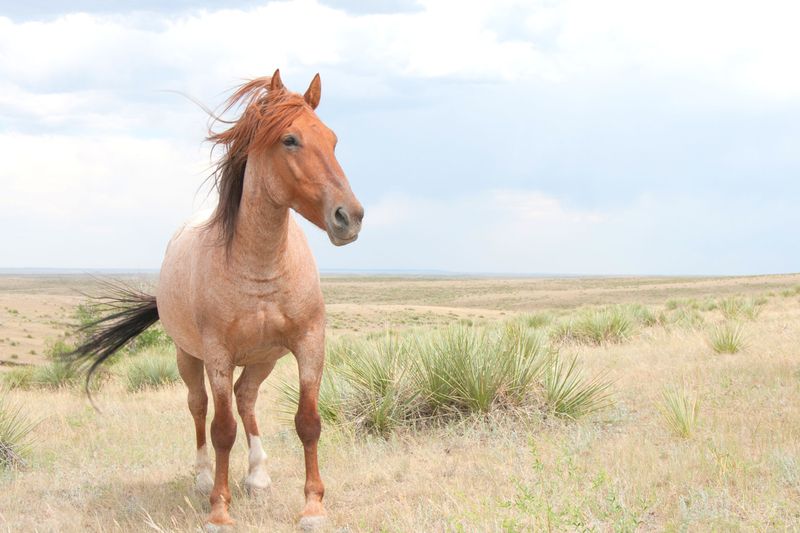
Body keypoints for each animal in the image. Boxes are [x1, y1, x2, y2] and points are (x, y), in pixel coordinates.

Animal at [70, 69, 364, 528]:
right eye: (290, 140)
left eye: (332, 140)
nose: (349, 217)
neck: (260, 264)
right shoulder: (218, 354)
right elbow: (221, 429)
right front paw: (219, 510)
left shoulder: (309, 342)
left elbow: (308, 421)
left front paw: (313, 507)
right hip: (188, 357)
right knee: (199, 408)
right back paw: (203, 478)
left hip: (263, 358)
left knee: (246, 398)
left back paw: (258, 475)